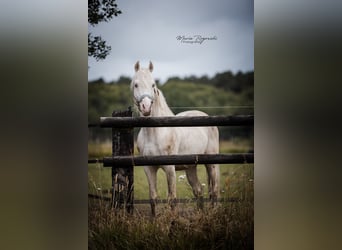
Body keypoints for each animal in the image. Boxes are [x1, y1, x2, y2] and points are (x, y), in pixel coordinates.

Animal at [131, 61, 219, 216]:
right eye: (136, 84)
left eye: (153, 85)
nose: (146, 107)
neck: (155, 132)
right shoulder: (149, 168)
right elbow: (153, 198)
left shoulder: (170, 168)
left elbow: (172, 198)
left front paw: (173, 220)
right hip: (191, 167)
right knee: (198, 190)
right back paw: (200, 214)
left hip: (211, 164)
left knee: (213, 191)